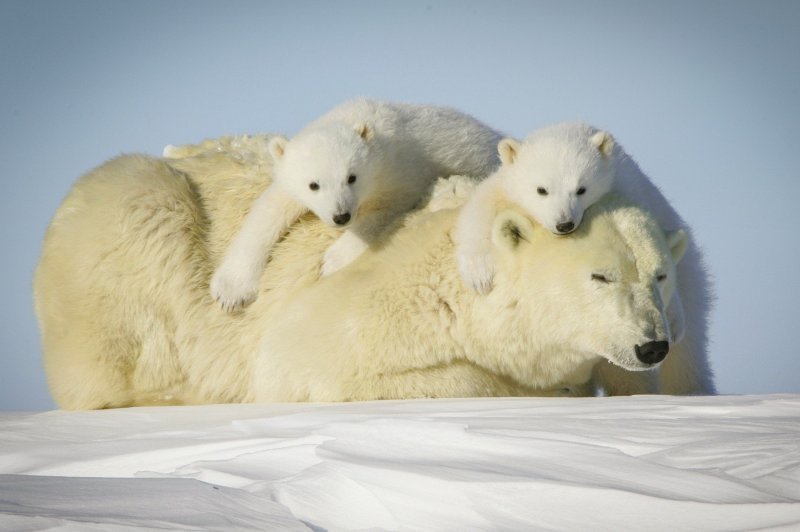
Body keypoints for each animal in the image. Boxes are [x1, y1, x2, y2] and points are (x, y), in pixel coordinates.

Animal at [32, 139, 700, 410]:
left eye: (659, 276)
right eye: (600, 276)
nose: (652, 345)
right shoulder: (370, 302)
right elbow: (310, 362)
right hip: (132, 221)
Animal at [211, 98, 500, 312]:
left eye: (351, 177)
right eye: (313, 185)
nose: (341, 216)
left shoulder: (400, 171)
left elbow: (381, 213)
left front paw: (331, 261)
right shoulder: (289, 181)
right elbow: (268, 211)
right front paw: (231, 291)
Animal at [454, 121, 716, 394]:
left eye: (581, 189)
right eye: (541, 190)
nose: (564, 224)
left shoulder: (626, 190)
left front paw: (672, 319)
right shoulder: (503, 187)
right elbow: (479, 211)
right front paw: (479, 275)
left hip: (690, 275)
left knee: (688, 347)